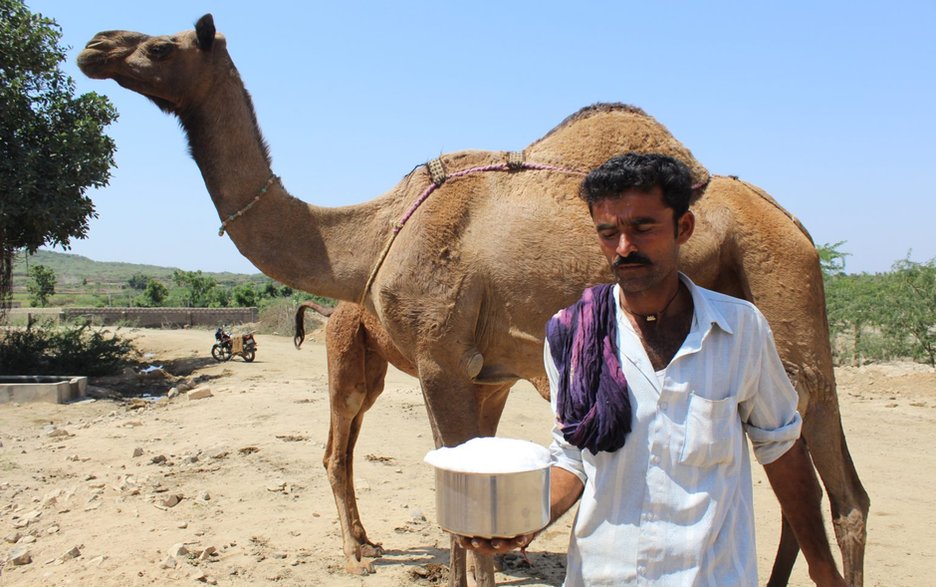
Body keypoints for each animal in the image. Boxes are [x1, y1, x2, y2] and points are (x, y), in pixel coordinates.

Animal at [78, 13, 872, 587]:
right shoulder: (481, 371)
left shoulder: (443, 360)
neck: (372, 234)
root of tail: (797, 227)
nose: (93, 45)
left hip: (788, 304)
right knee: (811, 484)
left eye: (160, 45)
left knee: (840, 493)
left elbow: (471, 520)